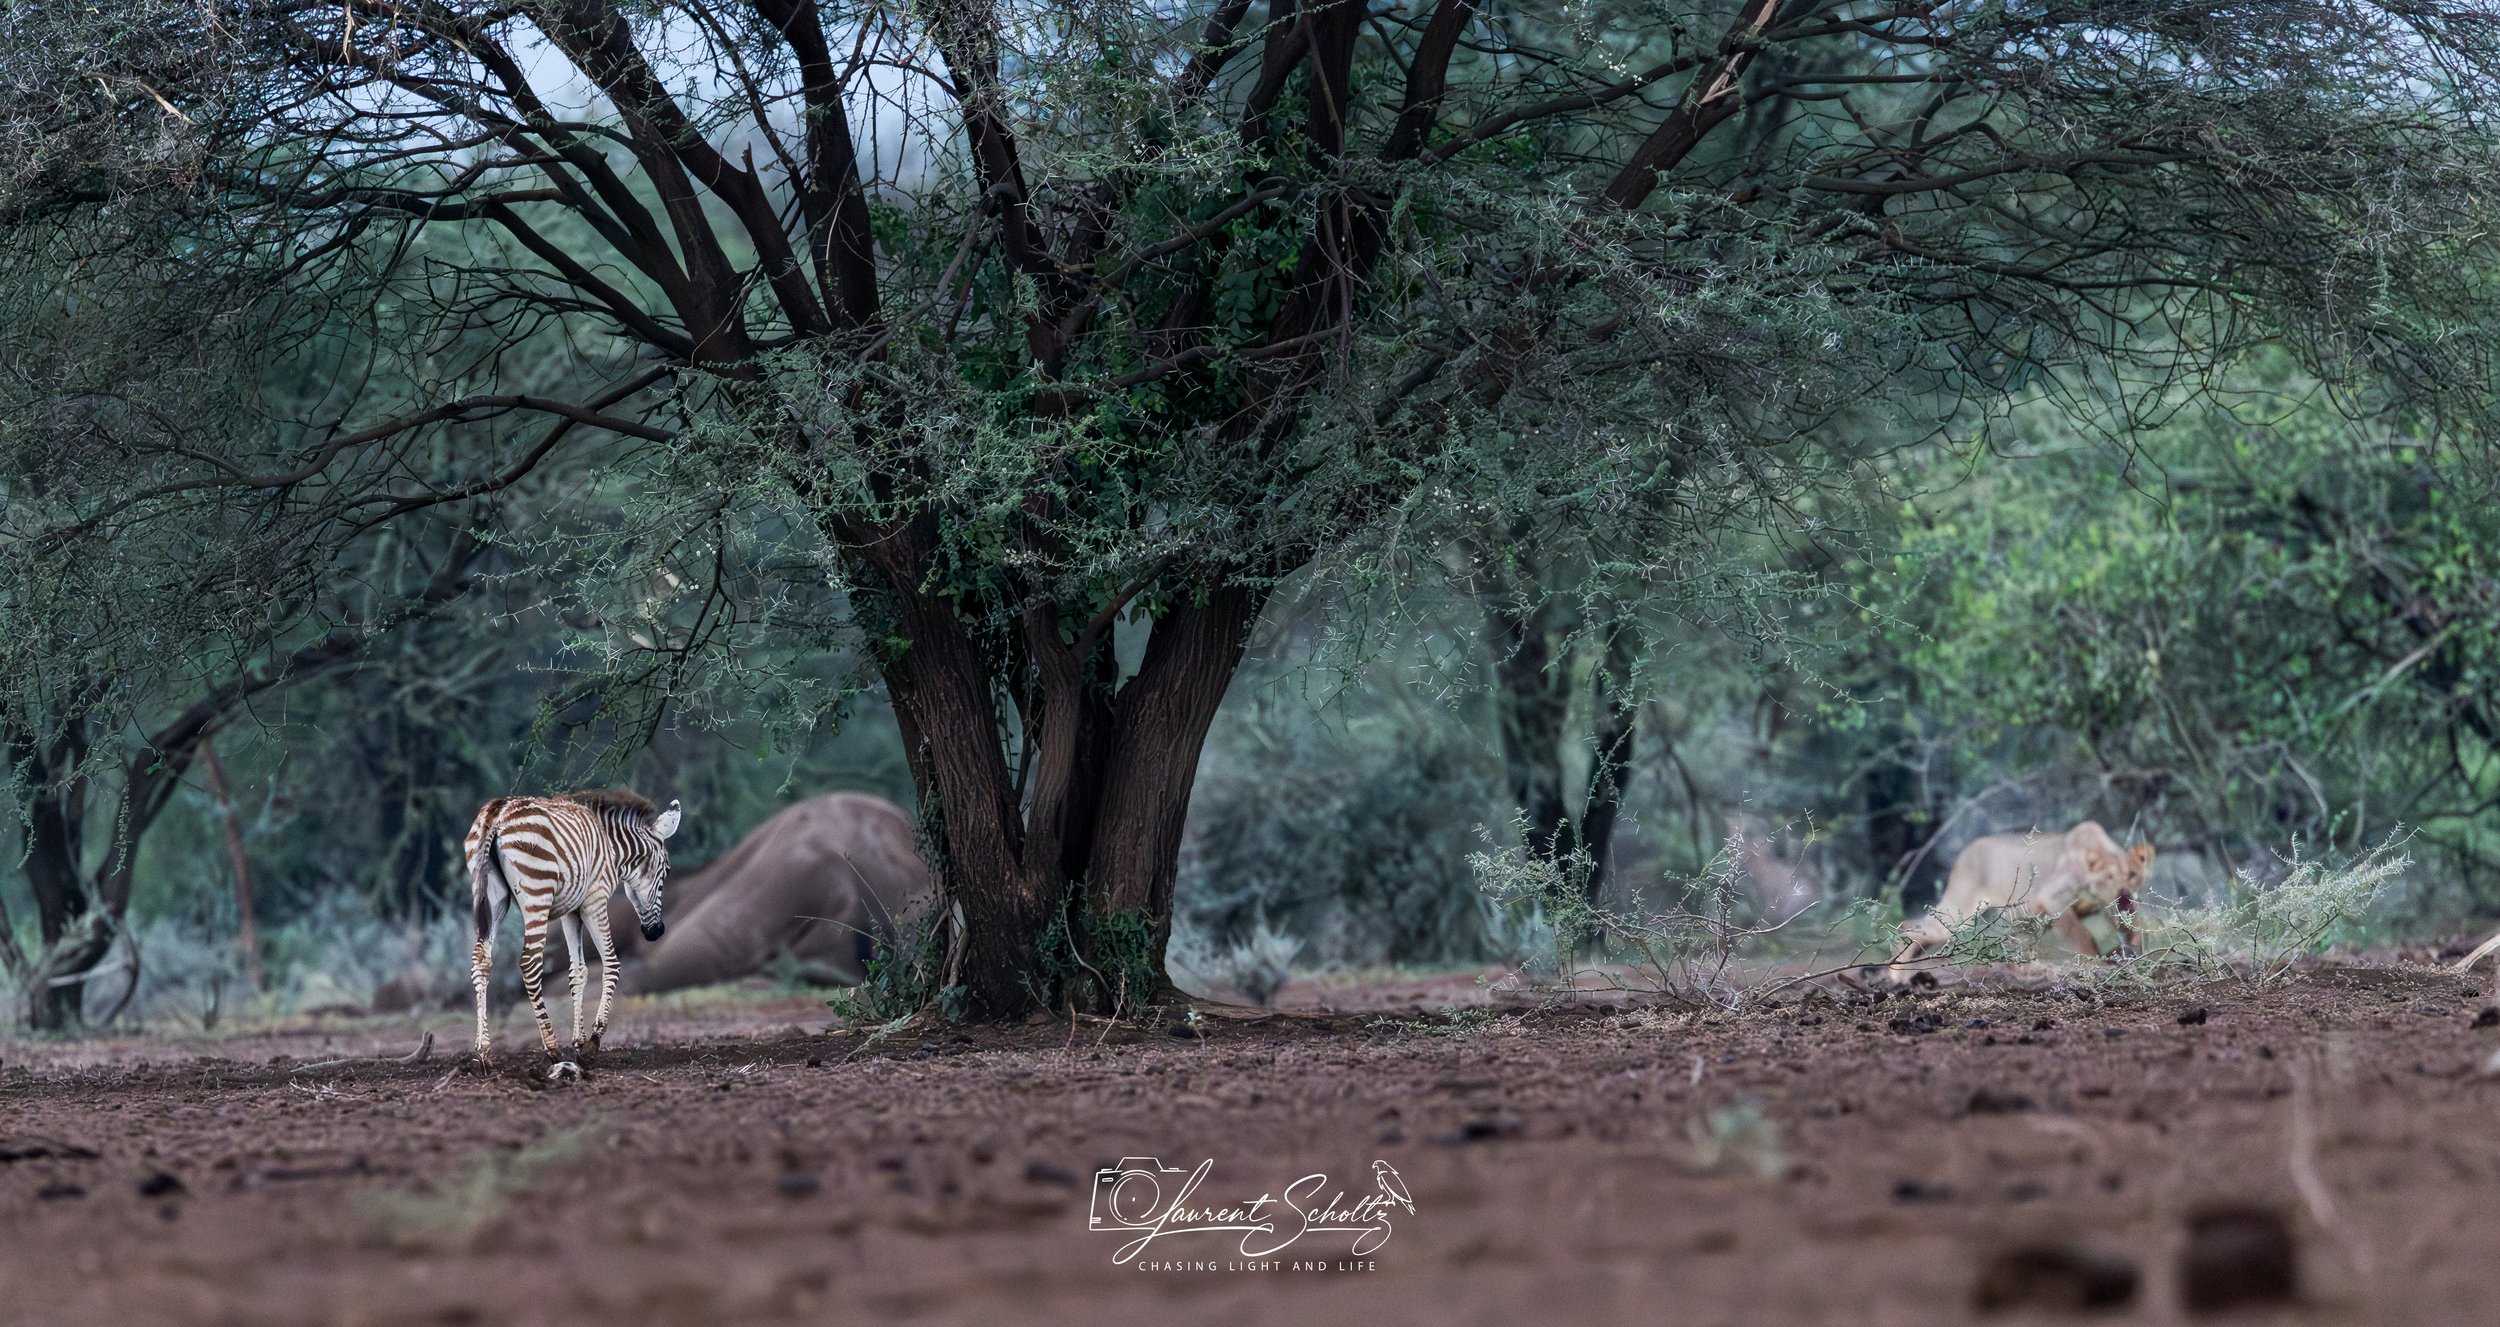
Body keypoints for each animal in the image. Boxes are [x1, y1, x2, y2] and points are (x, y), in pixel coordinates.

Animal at [464, 790, 681, 1063]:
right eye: (667, 872)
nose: (656, 932)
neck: (613, 850)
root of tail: (497, 813)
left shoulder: (571, 911)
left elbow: (578, 971)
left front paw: (578, 1040)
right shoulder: (594, 900)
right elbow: (611, 963)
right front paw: (593, 1040)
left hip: (492, 898)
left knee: (481, 960)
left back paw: (483, 1049)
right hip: (537, 895)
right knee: (529, 963)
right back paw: (552, 1047)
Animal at [1890, 822, 2154, 977]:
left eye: (2132, 874)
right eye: (2109, 877)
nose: (2124, 891)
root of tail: (1965, 852)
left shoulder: (2101, 909)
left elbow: (2129, 923)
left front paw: (2133, 942)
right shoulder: (2051, 900)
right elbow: (2081, 937)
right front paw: (2095, 962)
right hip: (1960, 910)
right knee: (1912, 927)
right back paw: (1896, 971)